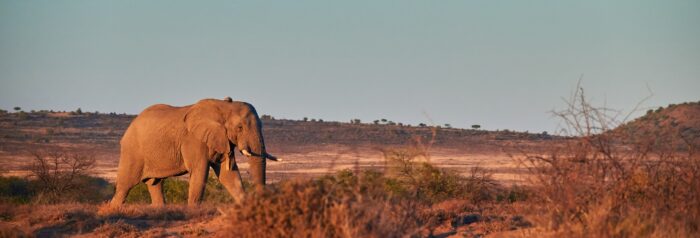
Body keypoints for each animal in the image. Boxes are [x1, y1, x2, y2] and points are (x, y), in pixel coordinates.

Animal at [108, 97, 278, 206]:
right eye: (240, 128)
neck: (223, 106)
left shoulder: (222, 140)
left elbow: (228, 175)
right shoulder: (194, 140)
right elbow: (200, 171)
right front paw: (193, 211)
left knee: (155, 184)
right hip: (132, 151)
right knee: (124, 186)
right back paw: (113, 209)